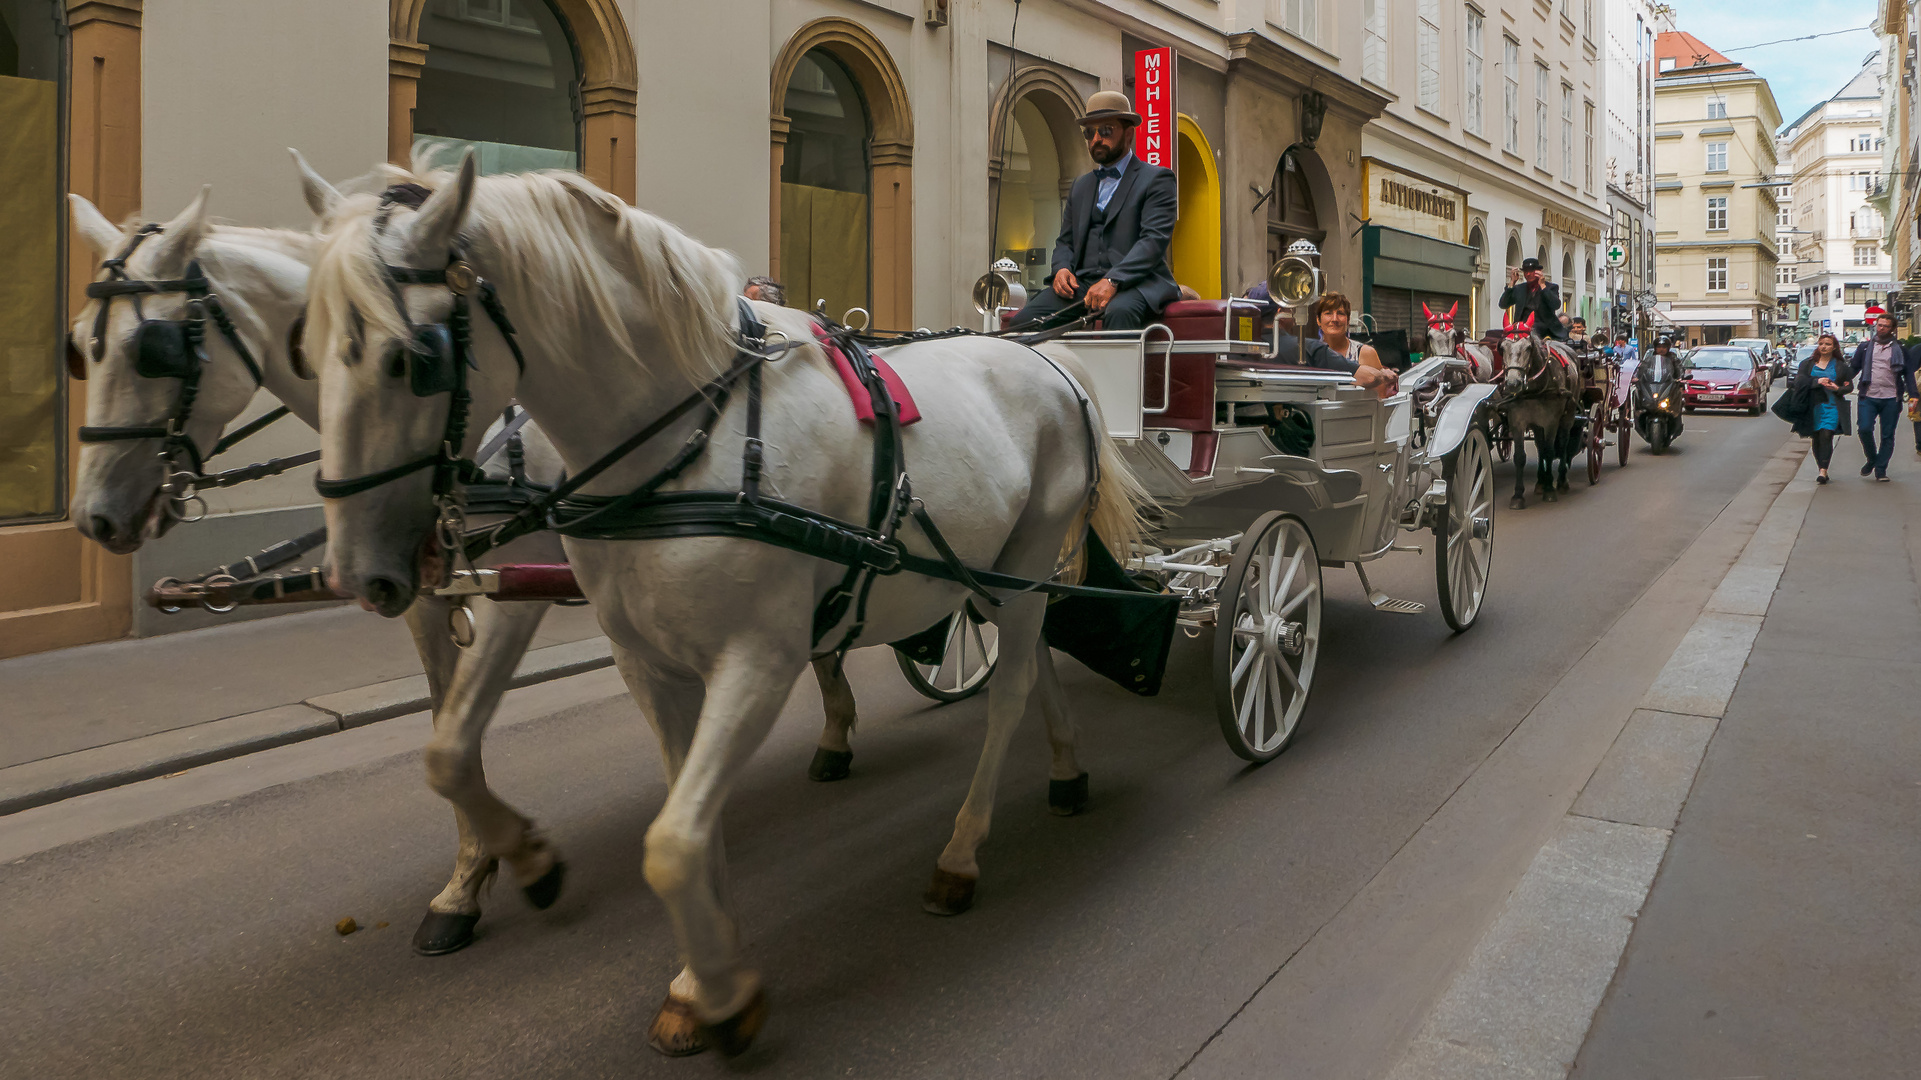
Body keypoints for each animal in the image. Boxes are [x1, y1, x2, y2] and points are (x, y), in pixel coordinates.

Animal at [299, 155, 1137, 1053]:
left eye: (414, 358)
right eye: (305, 349)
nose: (355, 572)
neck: (690, 444)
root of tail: (1050, 362)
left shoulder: (756, 664)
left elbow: (669, 843)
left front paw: (723, 995)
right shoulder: (648, 665)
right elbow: (684, 825)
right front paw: (696, 972)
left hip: (1028, 558)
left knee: (1009, 690)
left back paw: (960, 854)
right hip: (994, 575)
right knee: (1033, 657)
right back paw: (1065, 768)